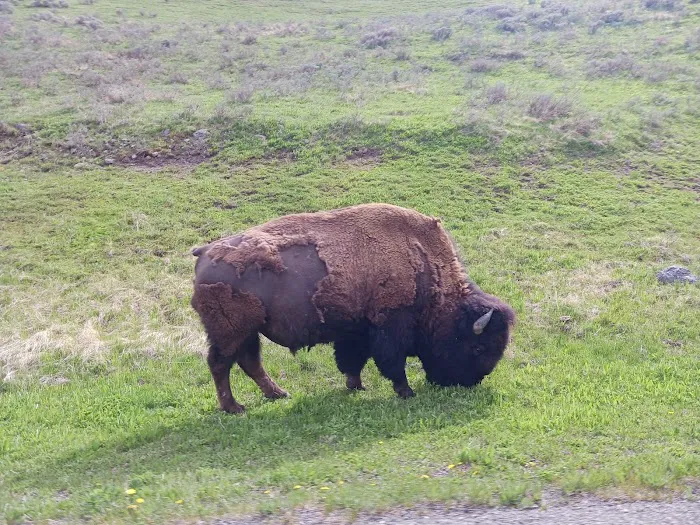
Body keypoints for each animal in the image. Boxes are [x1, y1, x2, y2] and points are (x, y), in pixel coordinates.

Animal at [191, 203, 515, 413]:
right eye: (478, 347)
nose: (469, 383)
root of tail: (205, 252)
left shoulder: (356, 330)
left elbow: (352, 359)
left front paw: (355, 386)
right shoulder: (389, 326)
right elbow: (391, 362)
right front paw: (405, 392)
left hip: (248, 331)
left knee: (249, 362)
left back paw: (278, 394)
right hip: (231, 332)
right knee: (221, 364)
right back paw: (234, 407)